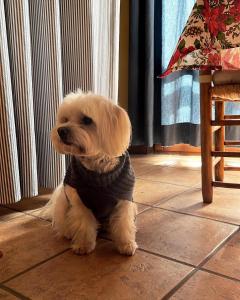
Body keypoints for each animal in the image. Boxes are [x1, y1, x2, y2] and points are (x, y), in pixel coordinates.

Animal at [43, 91, 137, 255]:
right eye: (65, 120)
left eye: (87, 120)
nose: (61, 130)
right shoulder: (79, 201)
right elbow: (84, 223)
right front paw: (83, 244)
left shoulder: (124, 199)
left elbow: (123, 223)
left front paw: (126, 244)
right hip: (64, 202)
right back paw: (68, 232)